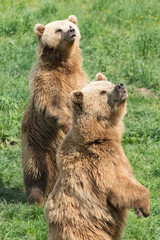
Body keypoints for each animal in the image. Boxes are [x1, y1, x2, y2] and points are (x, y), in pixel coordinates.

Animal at [21, 15, 87, 205]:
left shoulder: (77, 79)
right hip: (36, 144)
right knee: (37, 170)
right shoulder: (47, 82)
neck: (63, 65)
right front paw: (69, 124)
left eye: (71, 25)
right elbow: (51, 107)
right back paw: (37, 199)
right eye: (58, 29)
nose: (71, 31)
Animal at [45, 73, 150, 240]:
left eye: (110, 84)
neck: (97, 136)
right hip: (89, 230)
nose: (120, 86)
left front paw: (139, 210)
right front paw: (145, 206)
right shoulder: (100, 162)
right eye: (102, 92)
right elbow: (117, 185)